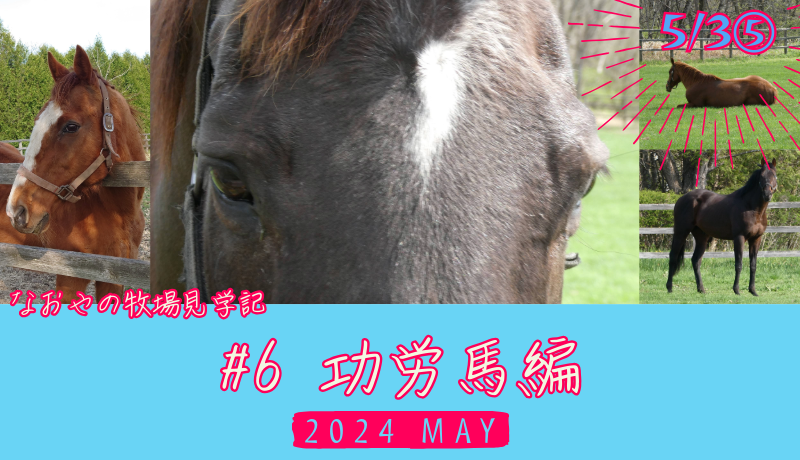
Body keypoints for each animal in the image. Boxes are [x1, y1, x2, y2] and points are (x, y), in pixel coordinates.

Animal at [666, 158, 778, 296]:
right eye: (761, 176)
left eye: (775, 175)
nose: (767, 194)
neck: (752, 209)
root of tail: (682, 198)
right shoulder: (739, 238)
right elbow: (738, 264)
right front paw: (736, 290)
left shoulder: (756, 238)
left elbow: (753, 265)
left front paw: (753, 290)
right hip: (681, 232)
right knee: (673, 256)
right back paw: (669, 288)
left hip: (702, 237)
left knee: (696, 260)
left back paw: (701, 289)